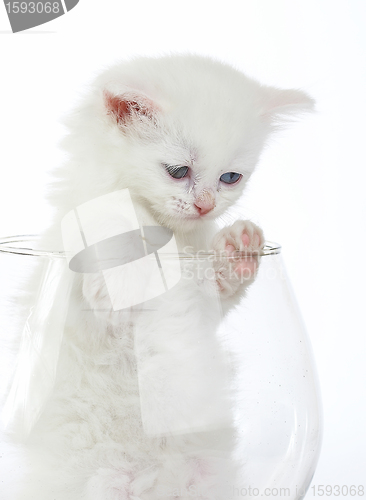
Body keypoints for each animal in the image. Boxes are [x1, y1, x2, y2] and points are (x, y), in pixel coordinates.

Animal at [1, 55, 314, 500]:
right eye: (178, 170)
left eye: (230, 178)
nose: (205, 206)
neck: (170, 236)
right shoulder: (87, 309)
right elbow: (112, 235)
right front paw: (126, 257)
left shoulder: (203, 303)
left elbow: (217, 286)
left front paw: (238, 248)